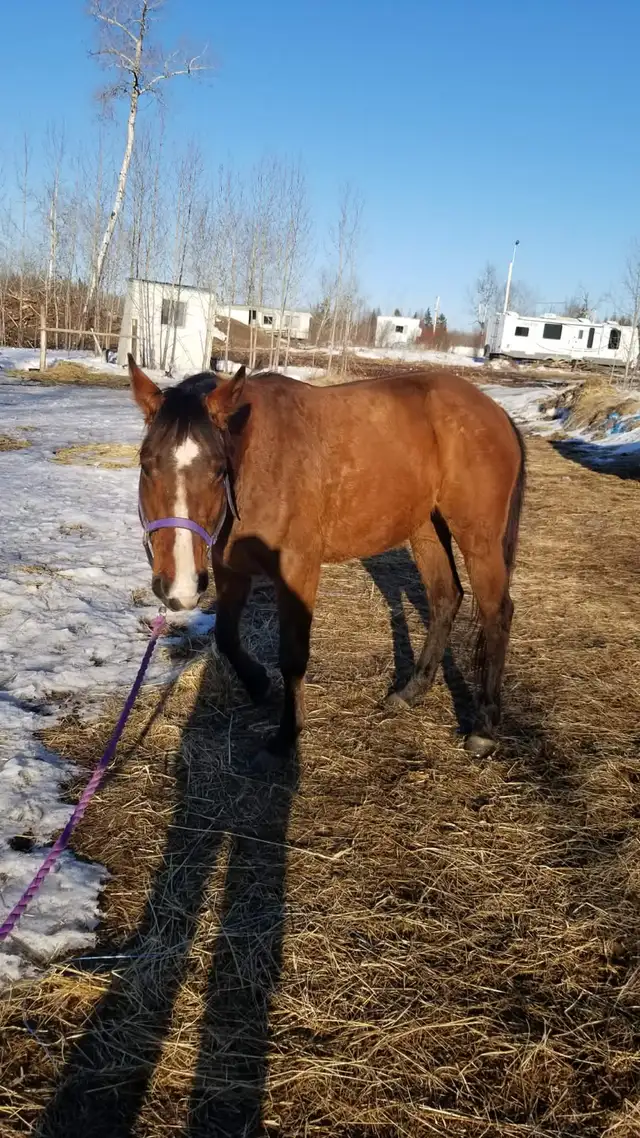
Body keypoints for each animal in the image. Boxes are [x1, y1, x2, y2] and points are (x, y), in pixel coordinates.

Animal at [129, 355, 526, 760]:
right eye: (145, 464)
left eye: (218, 469)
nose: (179, 587)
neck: (260, 461)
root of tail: (494, 411)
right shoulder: (229, 568)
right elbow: (225, 636)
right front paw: (259, 684)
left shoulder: (298, 569)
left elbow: (292, 654)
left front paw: (289, 732)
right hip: (425, 528)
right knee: (446, 598)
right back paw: (411, 692)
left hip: (479, 538)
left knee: (497, 612)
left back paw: (484, 727)